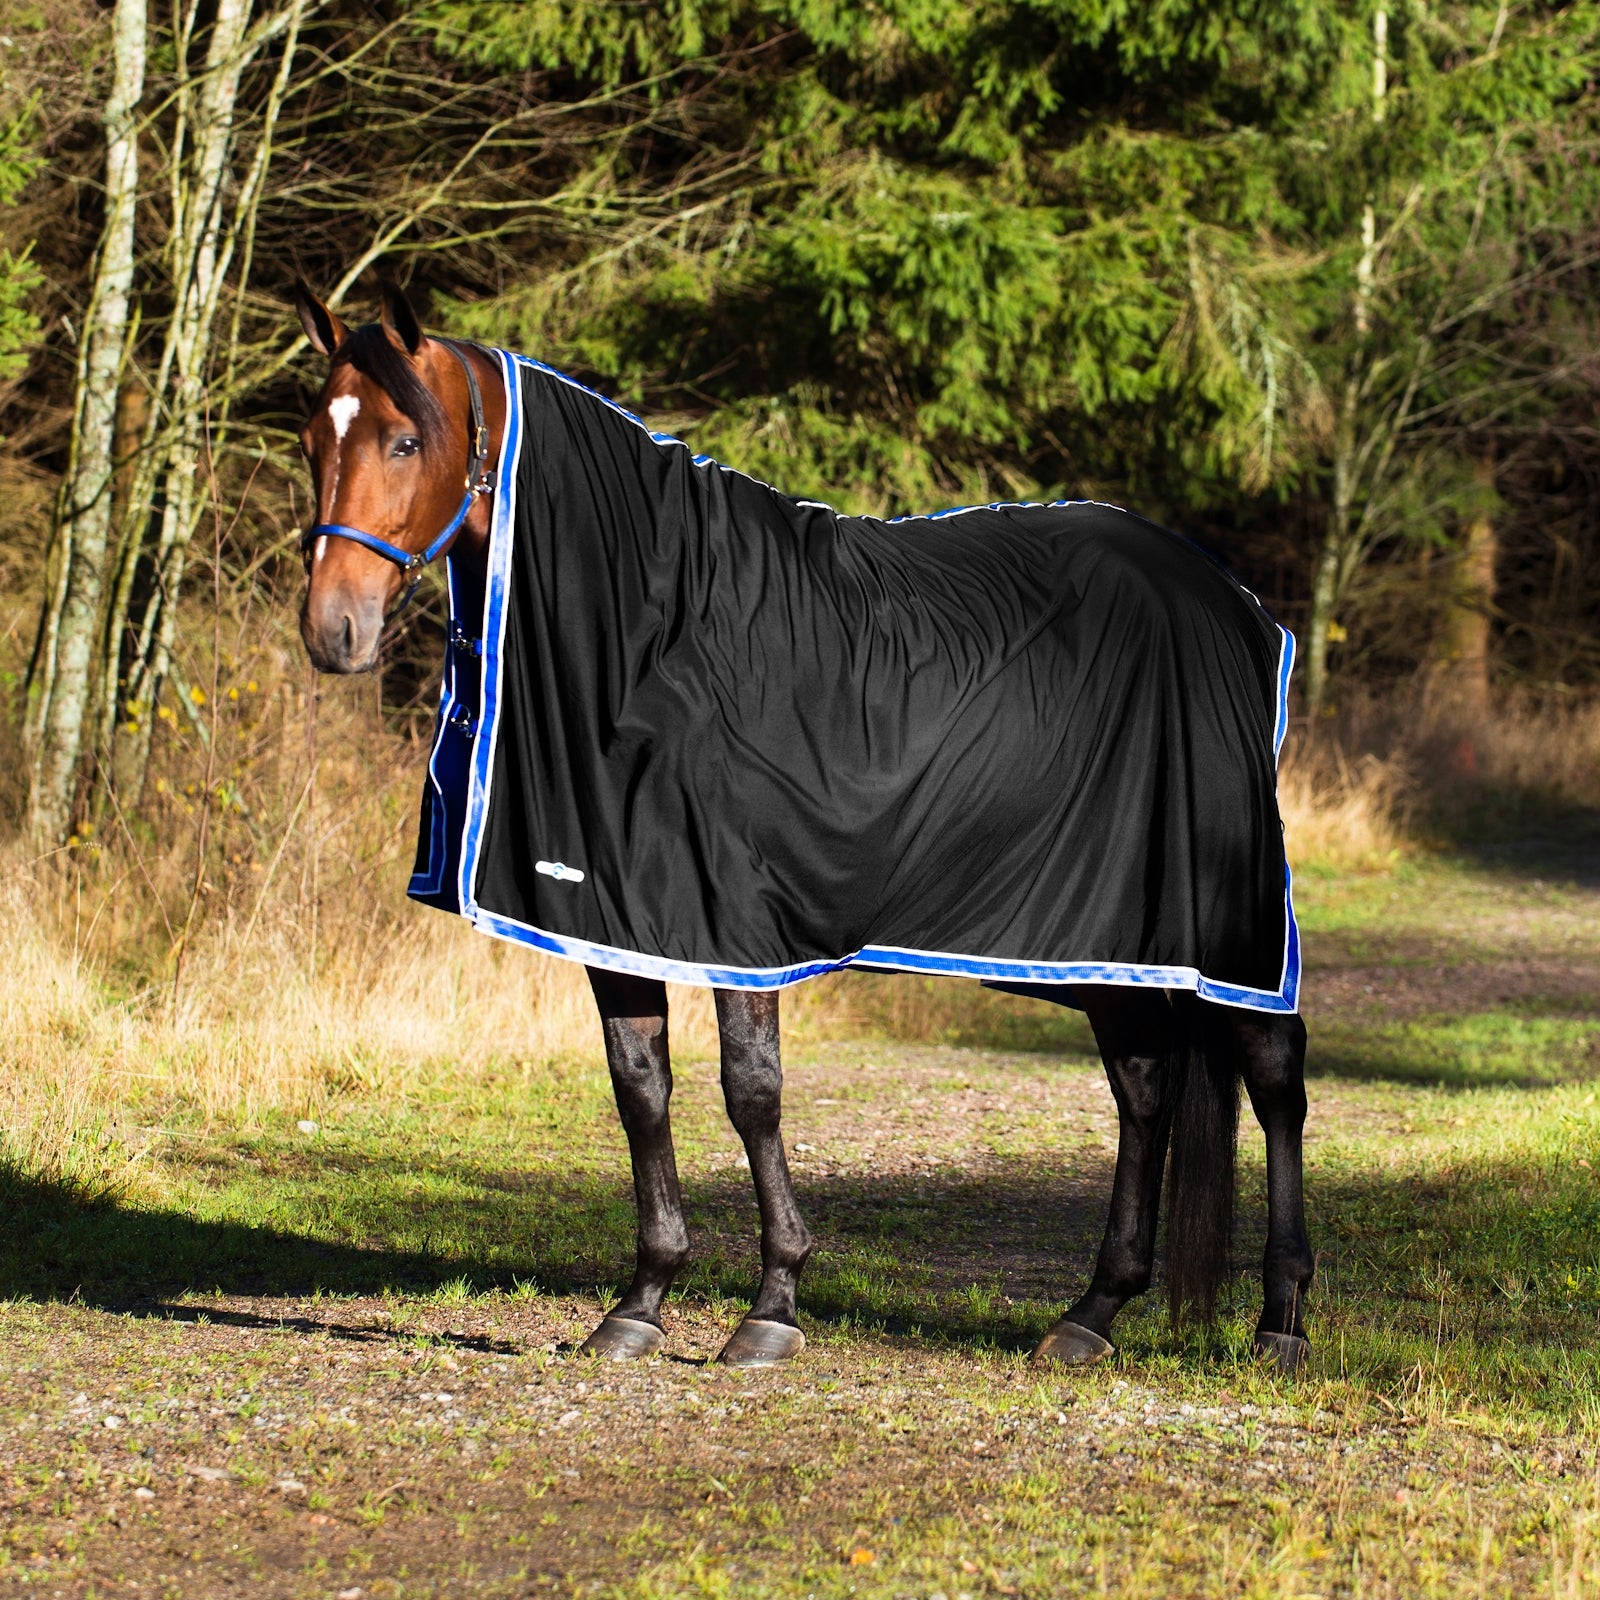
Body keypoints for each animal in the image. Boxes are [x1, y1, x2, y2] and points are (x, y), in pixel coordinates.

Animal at [291, 280, 1314, 1372]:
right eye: (313, 438)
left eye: (404, 440)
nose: (332, 630)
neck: (659, 630)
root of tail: (1234, 602)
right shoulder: (615, 916)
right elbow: (640, 1088)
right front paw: (640, 1302)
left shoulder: (736, 923)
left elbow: (752, 1092)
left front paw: (771, 1306)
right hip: (1106, 932)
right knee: (1145, 1084)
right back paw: (1091, 1313)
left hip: (1230, 921)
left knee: (1272, 1075)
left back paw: (1280, 1321)